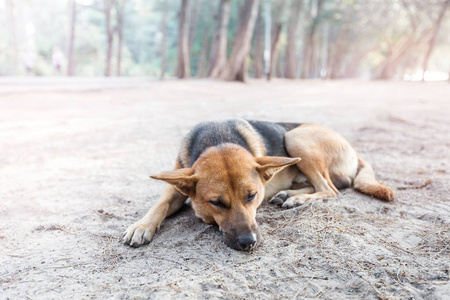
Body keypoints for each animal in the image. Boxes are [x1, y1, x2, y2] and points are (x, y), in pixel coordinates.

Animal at [123, 119, 394, 251]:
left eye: (252, 196)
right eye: (216, 202)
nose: (248, 242)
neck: (217, 140)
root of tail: (353, 149)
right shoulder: (176, 185)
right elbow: (159, 204)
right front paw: (142, 225)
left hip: (295, 137)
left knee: (330, 189)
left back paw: (295, 198)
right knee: (325, 185)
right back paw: (288, 193)